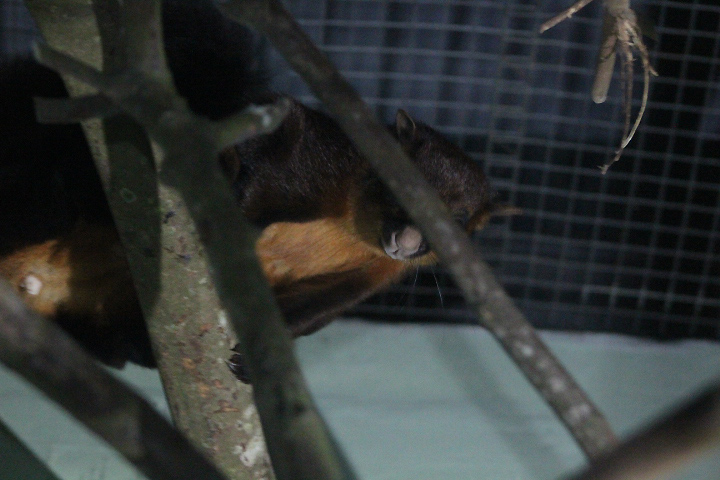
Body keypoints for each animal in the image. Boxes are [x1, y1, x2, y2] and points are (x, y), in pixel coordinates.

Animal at [0, 0, 506, 372]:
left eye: (460, 220)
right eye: (402, 187)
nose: (408, 241)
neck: (349, 229)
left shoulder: (373, 276)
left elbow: (315, 310)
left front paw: (250, 360)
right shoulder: (311, 149)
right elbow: (262, 170)